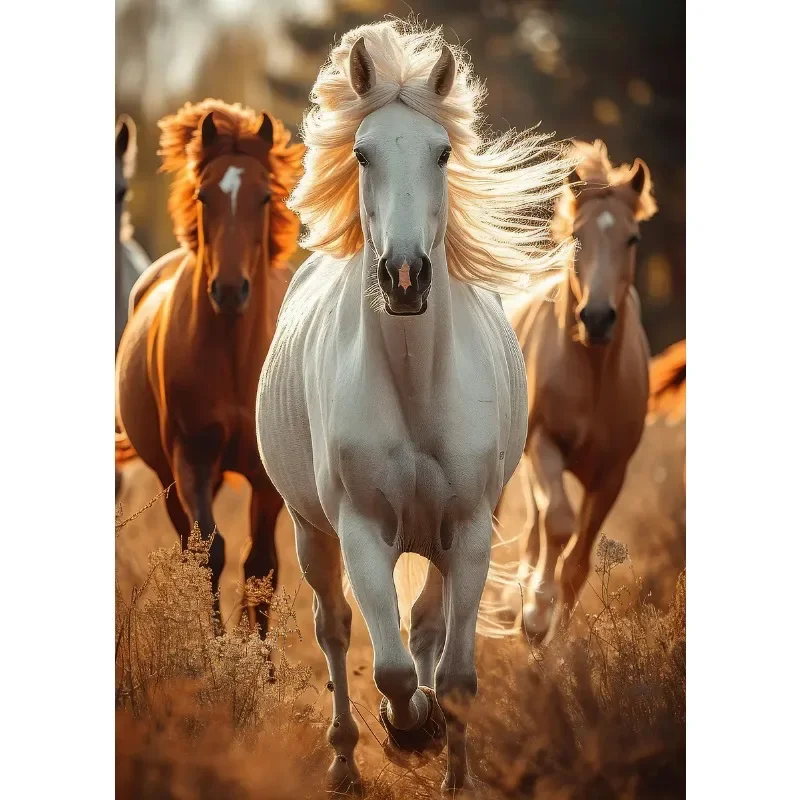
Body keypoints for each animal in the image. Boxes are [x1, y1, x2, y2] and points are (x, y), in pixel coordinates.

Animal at [115, 99, 304, 633]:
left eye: (265, 197)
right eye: (204, 195)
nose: (229, 290)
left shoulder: (265, 476)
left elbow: (261, 564)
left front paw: (256, 651)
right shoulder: (191, 459)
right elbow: (211, 554)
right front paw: (217, 645)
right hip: (168, 475)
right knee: (189, 545)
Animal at [255, 22, 572, 796]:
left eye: (443, 152)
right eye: (363, 153)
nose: (404, 276)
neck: (414, 385)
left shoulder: (472, 528)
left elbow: (453, 674)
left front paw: (449, 761)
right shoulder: (363, 531)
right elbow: (393, 667)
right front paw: (407, 730)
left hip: (441, 539)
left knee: (427, 622)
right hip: (311, 532)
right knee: (335, 629)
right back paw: (344, 760)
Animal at [495, 139, 658, 644]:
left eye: (633, 239)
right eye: (577, 236)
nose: (598, 318)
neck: (592, 374)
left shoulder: (612, 476)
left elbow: (578, 562)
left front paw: (559, 644)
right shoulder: (544, 445)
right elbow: (559, 524)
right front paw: (534, 613)